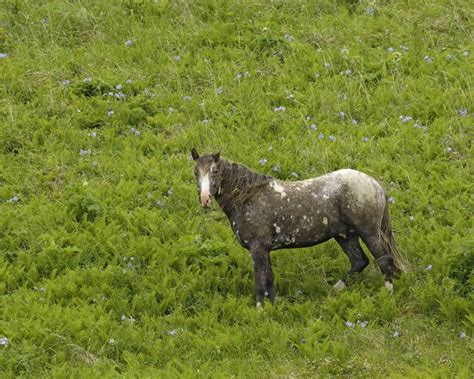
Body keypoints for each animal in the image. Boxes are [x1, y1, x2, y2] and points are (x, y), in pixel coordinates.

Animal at [191, 149, 406, 308]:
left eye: (215, 171)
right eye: (196, 172)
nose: (205, 199)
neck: (248, 198)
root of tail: (375, 184)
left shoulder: (257, 248)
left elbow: (260, 281)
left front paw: (260, 310)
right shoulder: (265, 250)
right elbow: (270, 281)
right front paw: (273, 308)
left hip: (369, 234)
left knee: (384, 262)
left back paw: (386, 296)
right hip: (345, 236)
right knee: (360, 261)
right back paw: (335, 290)